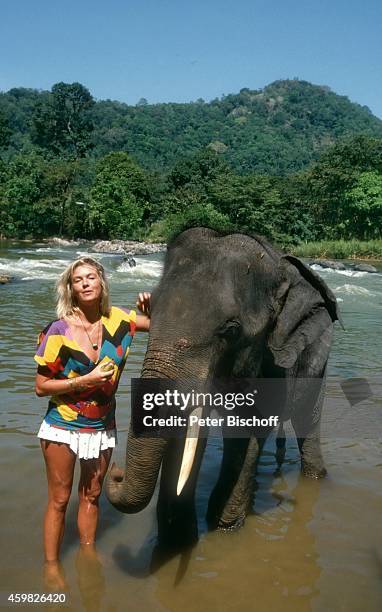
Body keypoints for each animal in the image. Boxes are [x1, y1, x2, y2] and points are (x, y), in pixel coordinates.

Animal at [105, 226, 344, 548]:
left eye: (231, 331)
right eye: (149, 310)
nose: (115, 473)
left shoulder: (270, 364)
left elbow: (249, 428)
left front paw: (224, 526)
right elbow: (189, 431)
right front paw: (177, 543)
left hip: (319, 352)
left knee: (307, 417)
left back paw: (315, 476)